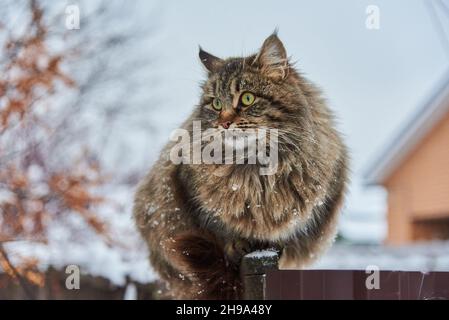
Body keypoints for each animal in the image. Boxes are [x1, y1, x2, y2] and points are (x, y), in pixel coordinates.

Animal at [134, 33, 350, 300]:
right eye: (216, 103)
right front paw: (236, 243)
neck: (254, 166)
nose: (224, 123)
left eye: (247, 98)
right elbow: (220, 228)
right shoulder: (189, 193)